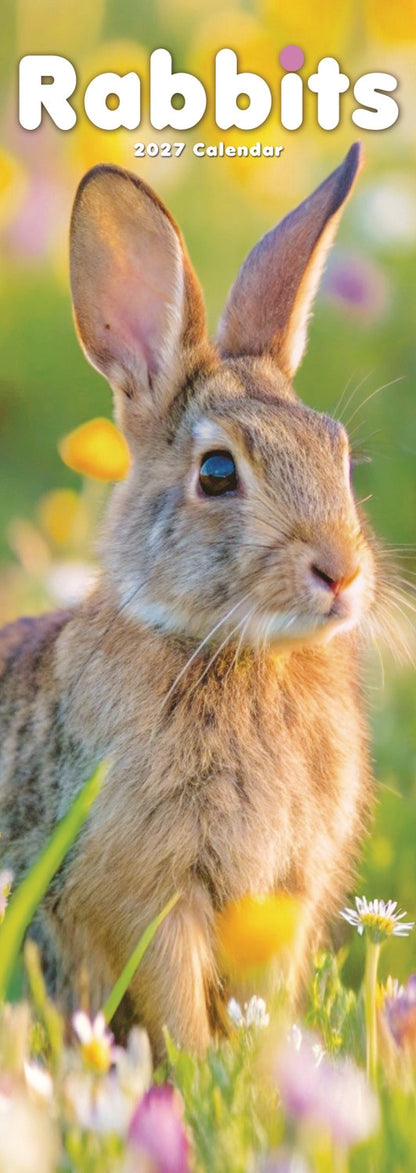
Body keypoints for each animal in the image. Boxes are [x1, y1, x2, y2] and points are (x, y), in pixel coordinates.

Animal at [0, 141, 381, 1057]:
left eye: (338, 454)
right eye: (215, 472)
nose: (341, 571)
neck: (235, 651)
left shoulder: (283, 897)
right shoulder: (148, 894)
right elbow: (176, 1006)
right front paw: (205, 1075)